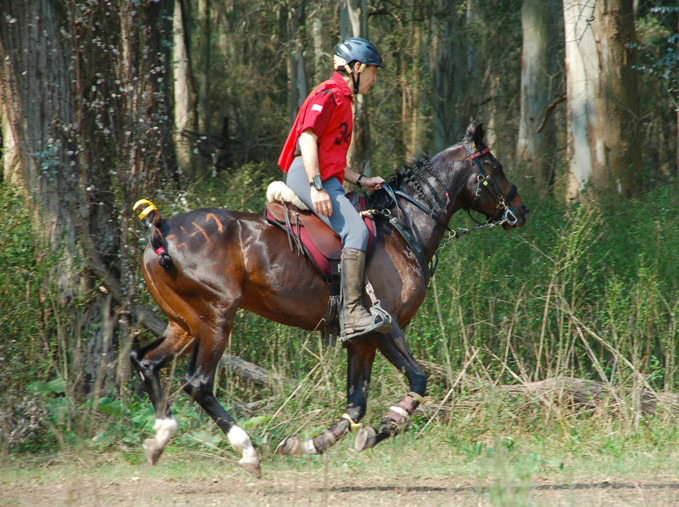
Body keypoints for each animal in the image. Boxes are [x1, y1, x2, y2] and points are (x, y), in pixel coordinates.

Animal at [130, 121, 528, 478]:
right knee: (198, 382)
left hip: (184, 323)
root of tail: (161, 230)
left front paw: (307, 444)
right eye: (496, 168)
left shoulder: (362, 340)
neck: (403, 226)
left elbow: (355, 405)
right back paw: (246, 450)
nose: (522, 211)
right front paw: (386, 425)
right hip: (215, 318)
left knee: (147, 361)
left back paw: (161, 435)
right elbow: (417, 380)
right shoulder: (385, 327)